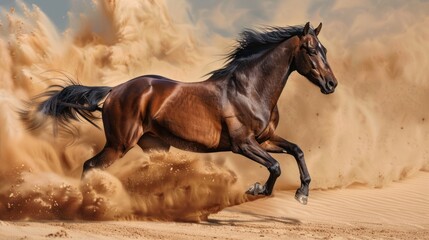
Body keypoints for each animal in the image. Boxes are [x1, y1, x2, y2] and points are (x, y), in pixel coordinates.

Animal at [26, 22, 338, 204]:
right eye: (311, 50)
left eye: (324, 49)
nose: (331, 84)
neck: (249, 89)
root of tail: (114, 91)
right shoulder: (243, 144)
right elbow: (275, 166)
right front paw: (258, 190)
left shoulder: (265, 139)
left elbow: (297, 150)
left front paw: (302, 193)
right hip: (119, 144)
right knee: (89, 166)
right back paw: (86, 201)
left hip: (154, 146)